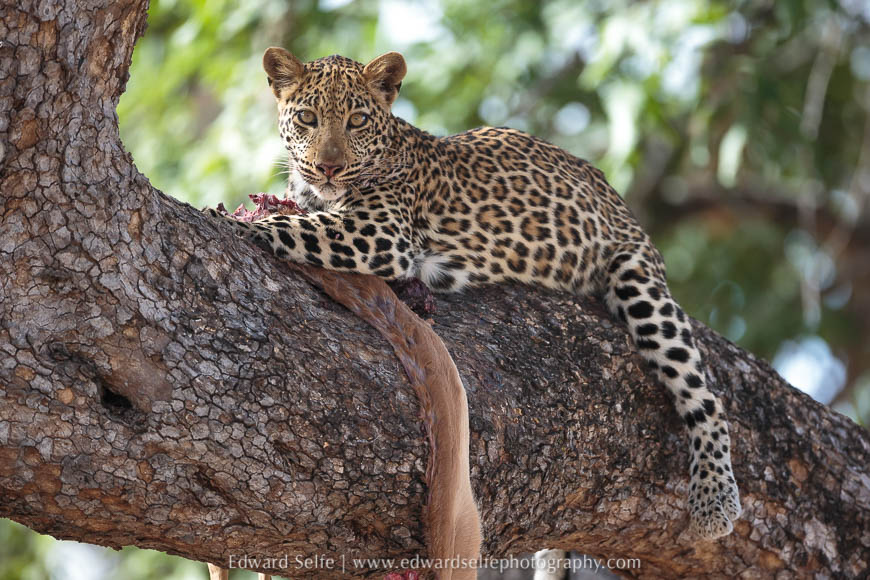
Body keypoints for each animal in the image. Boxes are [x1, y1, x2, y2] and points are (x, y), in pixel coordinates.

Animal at [205, 47, 742, 570]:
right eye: (308, 119)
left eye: (356, 121)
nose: (329, 167)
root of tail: (614, 196)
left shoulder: (382, 233)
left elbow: (293, 227)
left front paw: (231, 220)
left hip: (636, 275)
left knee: (704, 396)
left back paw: (716, 500)